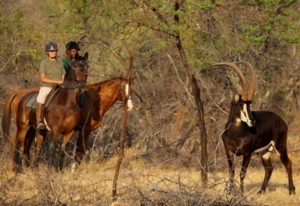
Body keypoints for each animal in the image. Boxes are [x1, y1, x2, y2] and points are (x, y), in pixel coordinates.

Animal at [213, 61, 296, 195]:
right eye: (242, 103)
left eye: (250, 104)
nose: (253, 121)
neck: (235, 133)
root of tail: (280, 120)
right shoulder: (229, 152)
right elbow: (232, 172)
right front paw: (230, 193)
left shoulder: (247, 153)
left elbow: (242, 173)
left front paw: (241, 194)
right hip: (265, 152)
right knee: (269, 169)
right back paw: (261, 191)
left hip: (280, 146)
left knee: (288, 163)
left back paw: (291, 190)